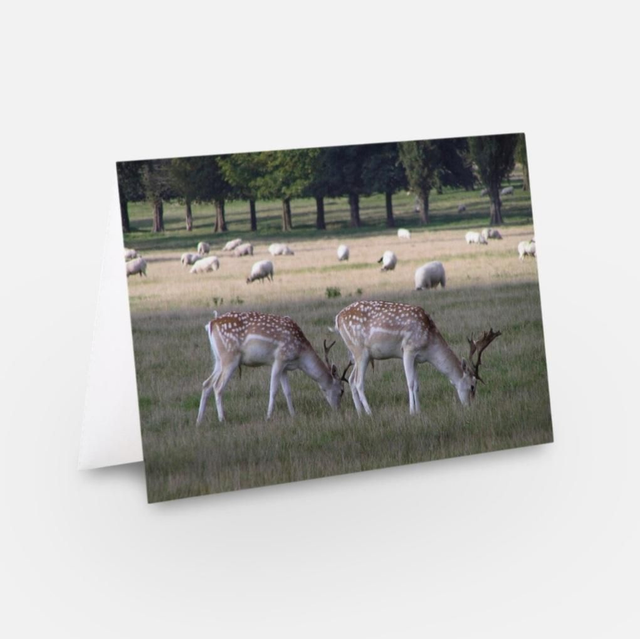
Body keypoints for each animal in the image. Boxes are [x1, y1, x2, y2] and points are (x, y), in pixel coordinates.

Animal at [196, 311, 351, 425]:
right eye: (342, 390)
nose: (338, 409)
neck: (300, 356)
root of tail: (210, 324)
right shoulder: (279, 359)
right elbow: (274, 390)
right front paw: (268, 416)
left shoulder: (285, 368)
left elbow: (287, 391)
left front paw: (293, 414)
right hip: (230, 358)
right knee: (218, 386)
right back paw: (222, 419)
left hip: (218, 360)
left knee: (206, 383)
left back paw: (199, 421)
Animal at [334, 300, 501, 416]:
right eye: (473, 386)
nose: (470, 406)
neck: (429, 344)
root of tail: (337, 318)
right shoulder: (408, 349)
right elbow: (410, 383)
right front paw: (412, 412)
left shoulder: (417, 358)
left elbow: (417, 384)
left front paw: (419, 411)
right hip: (360, 351)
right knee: (358, 382)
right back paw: (370, 413)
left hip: (361, 355)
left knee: (350, 379)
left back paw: (360, 413)